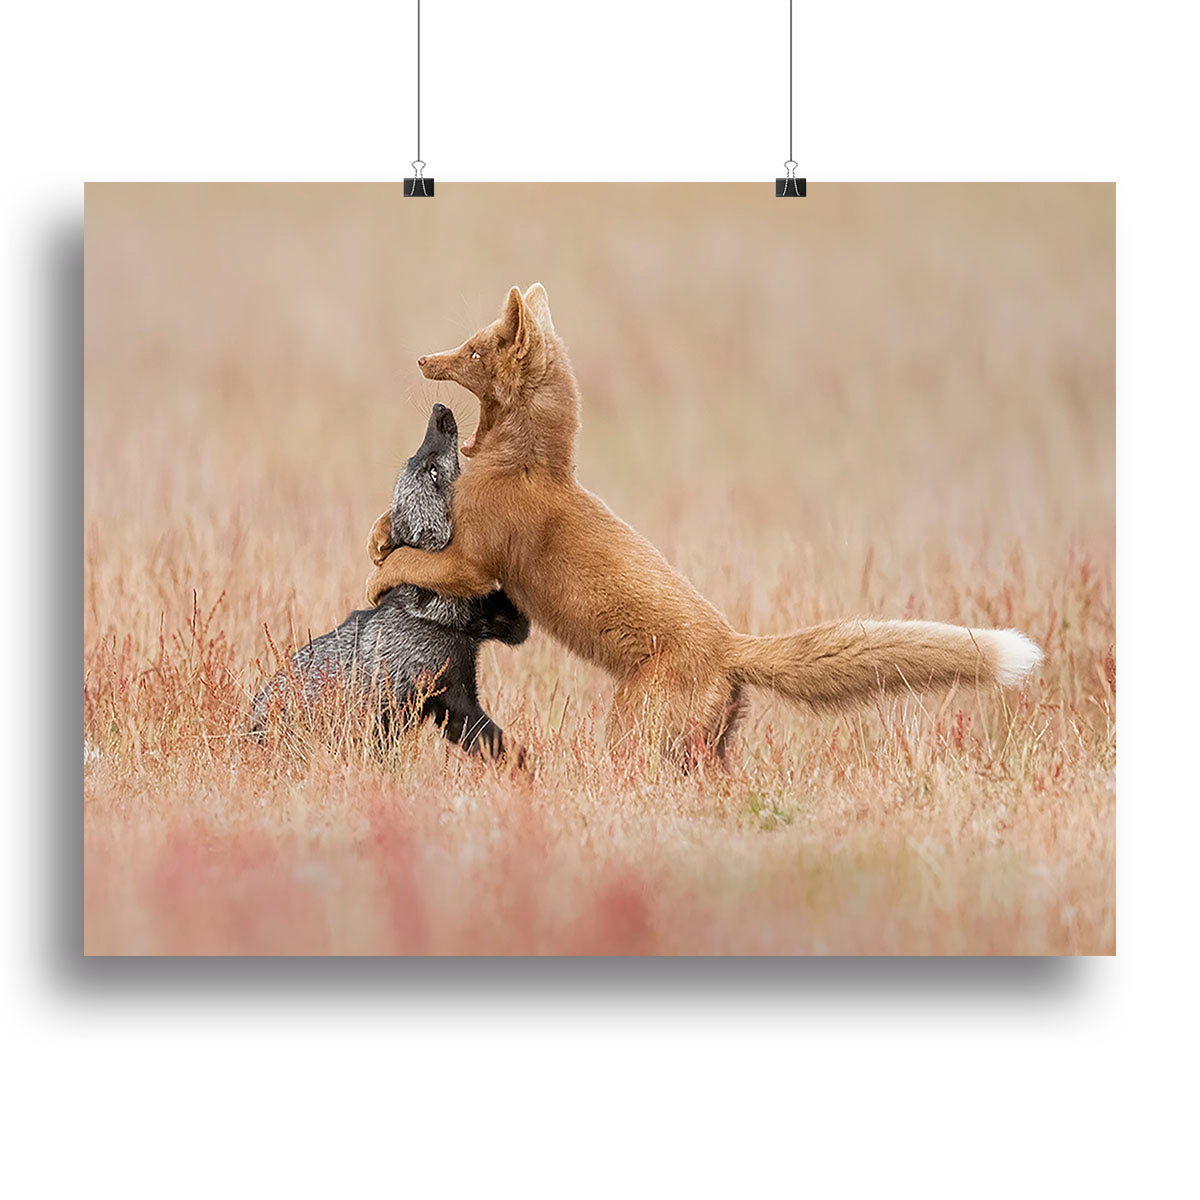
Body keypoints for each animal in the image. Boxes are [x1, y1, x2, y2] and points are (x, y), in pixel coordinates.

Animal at [252, 404, 529, 758]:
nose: (440, 412)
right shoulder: (449, 694)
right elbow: (495, 740)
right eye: (432, 472)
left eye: (425, 464)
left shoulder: (493, 630)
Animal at [364, 284, 1042, 766]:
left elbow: (423, 563)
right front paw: (376, 537)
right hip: (706, 747)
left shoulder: (477, 560)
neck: (523, 469)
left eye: (474, 350)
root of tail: (731, 645)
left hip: (634, 726)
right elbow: (392, 531)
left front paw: (377, 578)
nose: (424, 359)